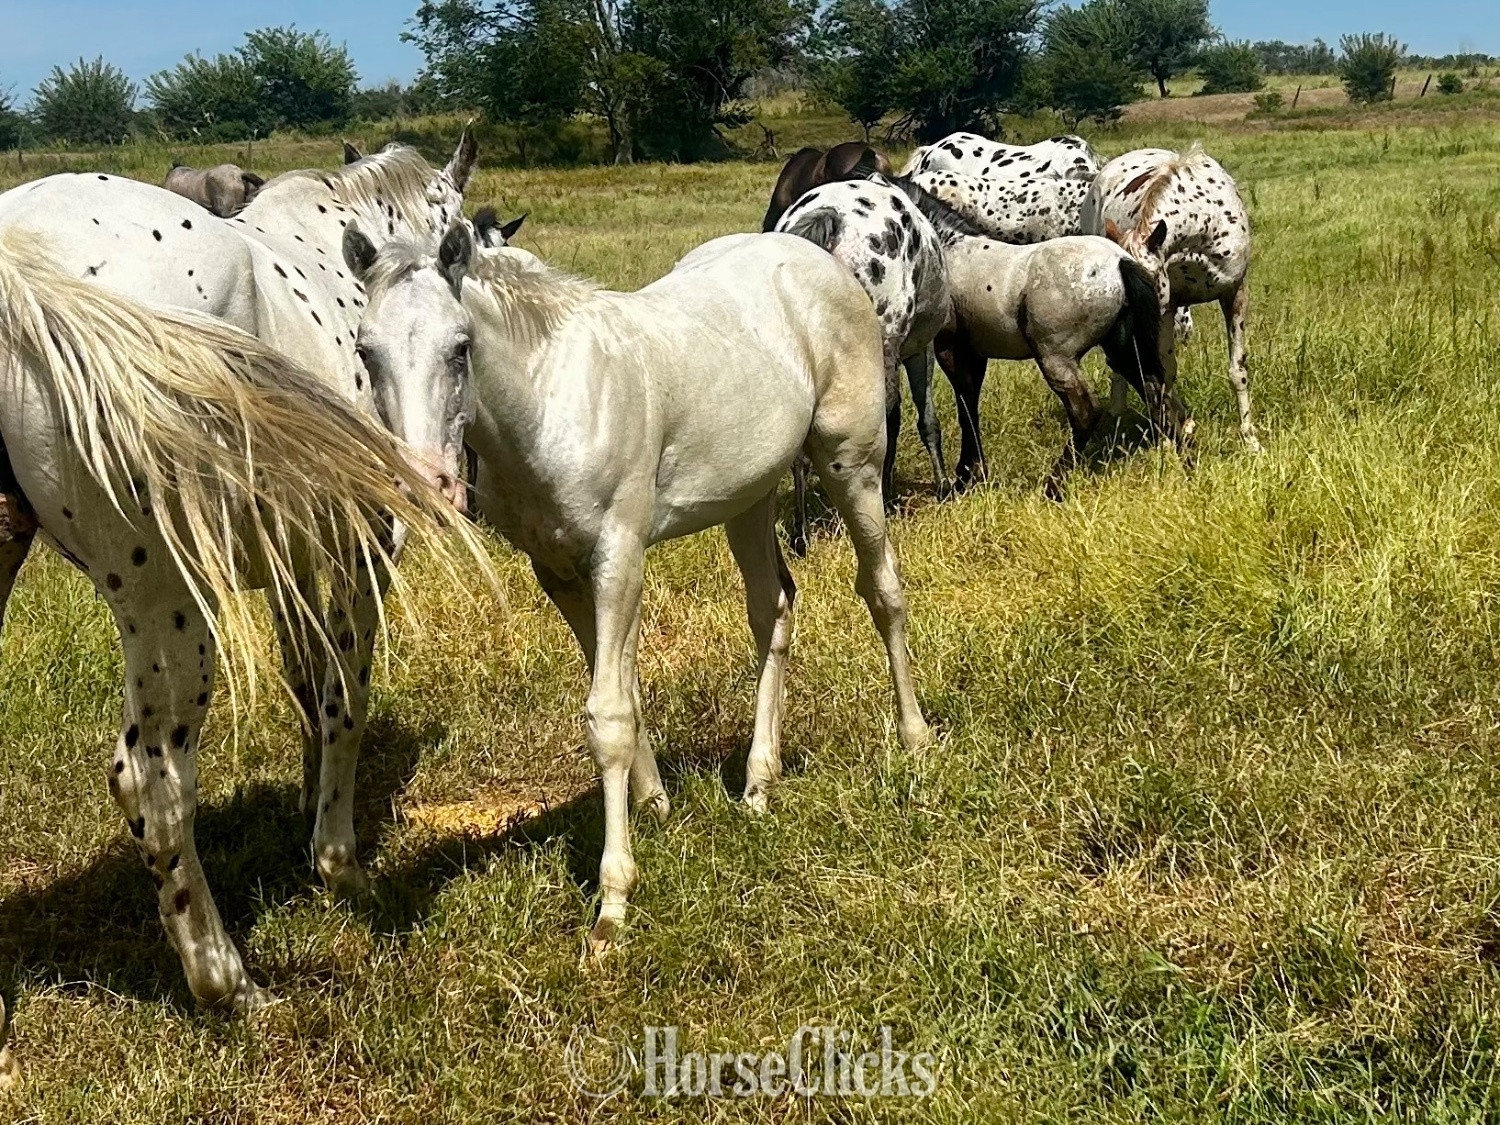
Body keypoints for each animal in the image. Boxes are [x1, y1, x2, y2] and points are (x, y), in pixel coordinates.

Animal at [0, 229, 482, 1025]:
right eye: (366, 351)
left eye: (462, 346)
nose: (425, 486)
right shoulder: (361, 554)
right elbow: (344, 699)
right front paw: (338, 862)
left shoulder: (296, 562)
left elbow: (307, 681)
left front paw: (310, 806)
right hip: (167, 604)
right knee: (152, 782)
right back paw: (229, 984)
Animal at [344, 229, 931, 952]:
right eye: (365, 349)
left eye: (461, 346)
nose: (422, 486)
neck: (548, 398)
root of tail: (816, 257)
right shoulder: (558, 570)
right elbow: (620, 687)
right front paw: (655, 805)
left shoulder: (618, 556)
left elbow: (608, 715)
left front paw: (613, 902)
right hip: (749, 495)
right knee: (772, 610)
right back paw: (758, 783)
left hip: (854, 467)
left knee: (882, 591)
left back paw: (914, 738)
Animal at [886, 179, 1190, 495]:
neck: (947, 249)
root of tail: (1120, 263)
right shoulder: (974, 351)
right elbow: (970, 402)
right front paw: (972, 474)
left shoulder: (949, 348)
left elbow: (965, 405)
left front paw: (963, 478)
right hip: (1124, 351)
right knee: (1160, 397)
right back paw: (1188, 471)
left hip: (1056, 358)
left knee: (1086, 411)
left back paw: (1053, 485)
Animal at [1081, 146, 1260, 451]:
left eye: (1146, 282)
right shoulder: (1167, 307)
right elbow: (1162, 373)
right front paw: (1167, 439)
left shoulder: (1234, 292)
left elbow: (1238, 369)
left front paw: (1250, 439)